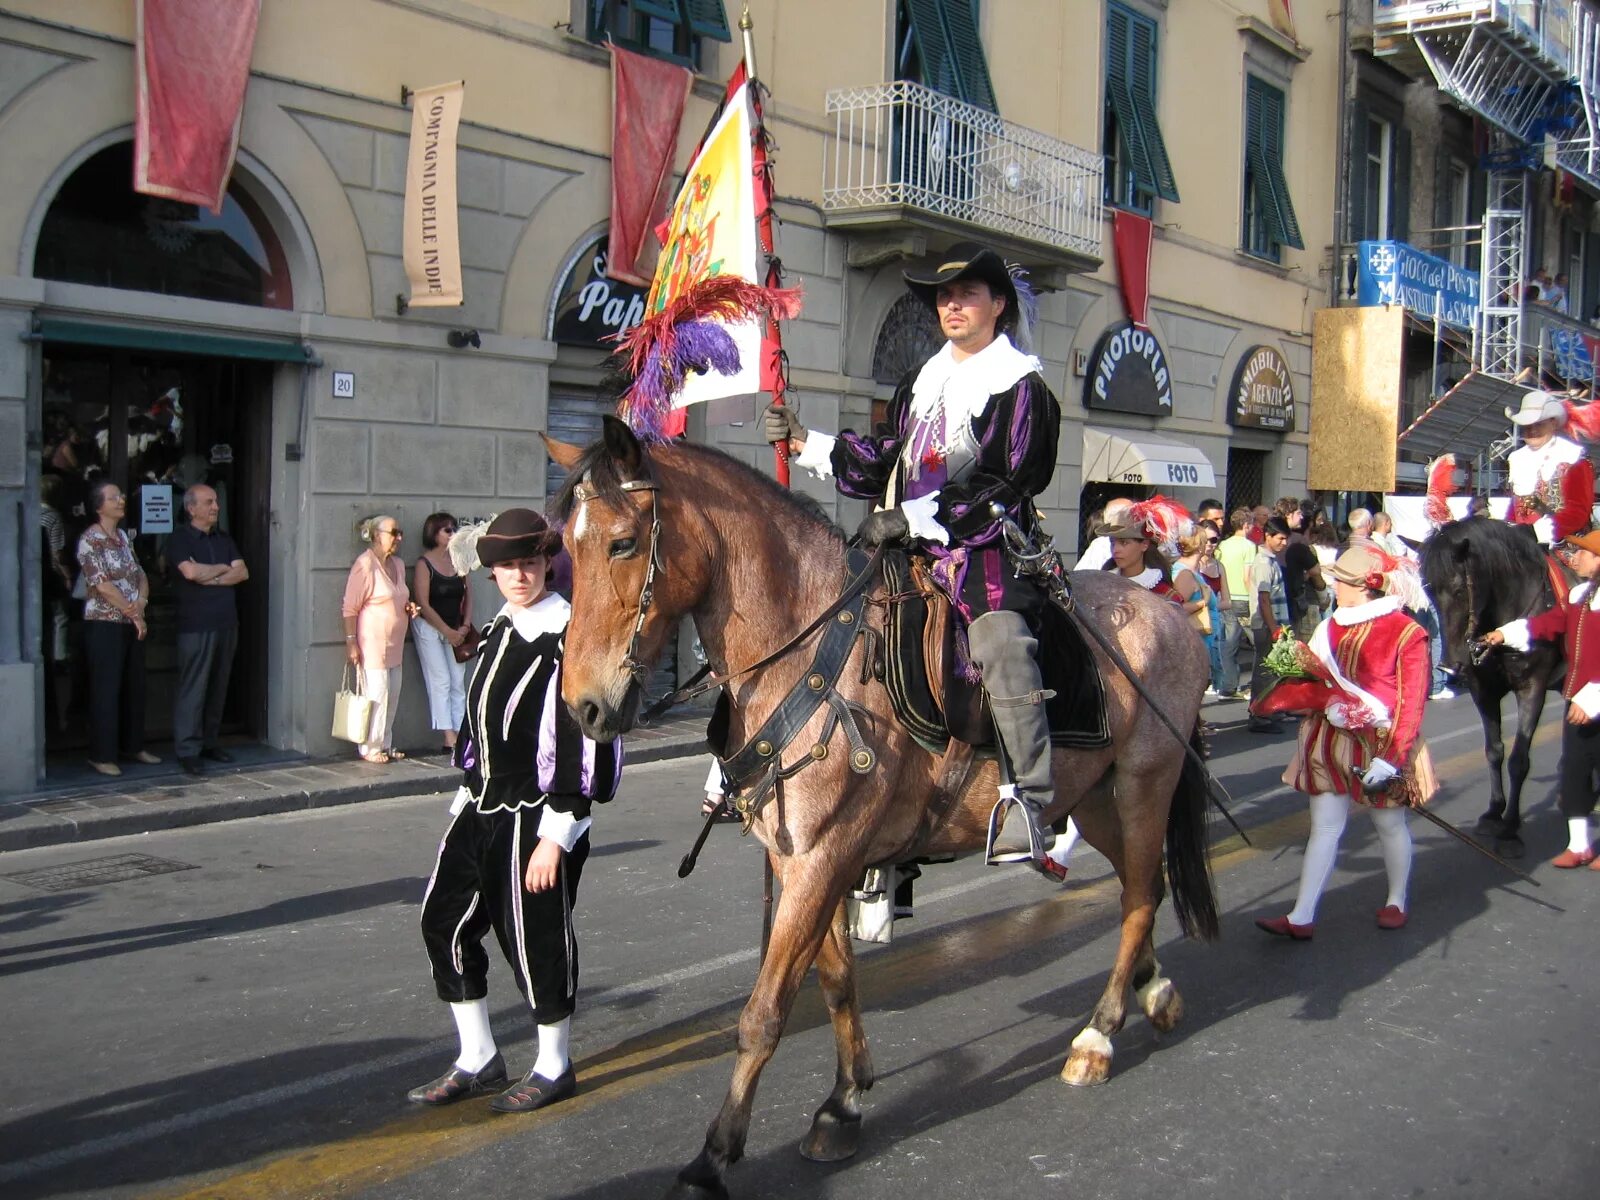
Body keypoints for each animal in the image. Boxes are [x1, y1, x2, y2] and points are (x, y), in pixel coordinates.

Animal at [547, 419, 1209, 1196]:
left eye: (623, 542)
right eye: (565, 549)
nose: (584, 707)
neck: (805, 651)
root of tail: (1173, 614)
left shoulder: (821, 858)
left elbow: (765, 1011)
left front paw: (714, 1155)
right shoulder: (807, 859)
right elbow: (835, 981)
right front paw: (843, 1103)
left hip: (1143, 784)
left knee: (1138, 896)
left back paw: (1098, 1035)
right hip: (1096, 798)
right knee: (1146, 884)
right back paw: (1153, 992)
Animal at [1427, 521, 1561, 857]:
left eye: (1459, 590)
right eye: (1429, 591)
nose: (1449, 667)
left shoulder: (1532, 689)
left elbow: (1518, 760)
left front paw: (1510, 829)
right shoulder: (1483, 691)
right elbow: (1494, 750)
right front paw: (1493, 813)